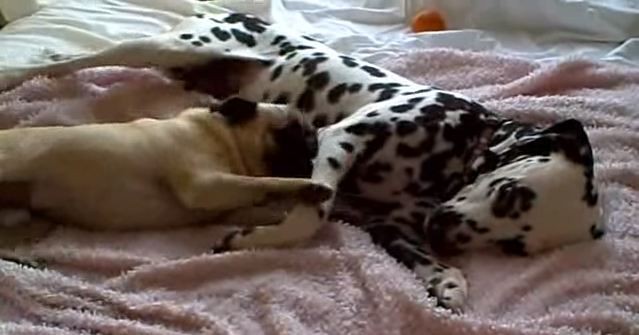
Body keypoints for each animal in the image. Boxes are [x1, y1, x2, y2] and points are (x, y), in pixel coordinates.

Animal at [0, 97, 330, 247]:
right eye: (289, 134)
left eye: (311, 137)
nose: (313, 148)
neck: (222, 138)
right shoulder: (205, 186)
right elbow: (263, 182)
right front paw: (308, 188)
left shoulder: (223, 201)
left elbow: (258, 205)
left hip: (35, 223)